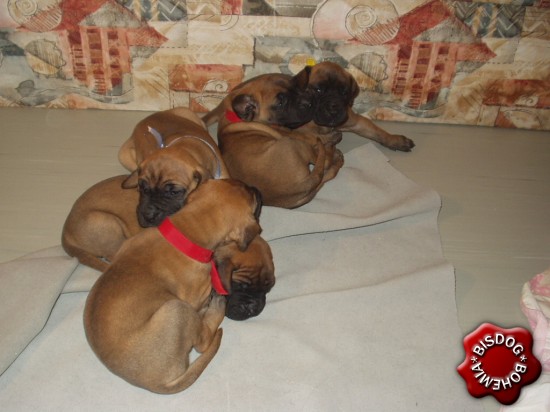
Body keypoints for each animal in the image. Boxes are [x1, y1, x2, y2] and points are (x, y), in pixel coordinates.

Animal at [62, 175, 275, 320]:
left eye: (268, 288)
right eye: (239, 286)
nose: (254, 309)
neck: (192, 223)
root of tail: (65, 234)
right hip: (106, 222)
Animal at [83, 179, 262, 394]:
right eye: (252, 198)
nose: (256, 188)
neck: (188, 229)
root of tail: (155, 384)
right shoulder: (194, 298)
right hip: (177, 309)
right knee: (203, 342)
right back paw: (217, 306)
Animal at [204, 75, 344, 209]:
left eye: (296, 88)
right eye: (280, 103)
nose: (309, 102)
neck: (237, 116)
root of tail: (300, 187)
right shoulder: (289, 133)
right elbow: (311, 136)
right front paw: (330, 136)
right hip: (292, 143)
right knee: (325, 160)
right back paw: (333, 150)